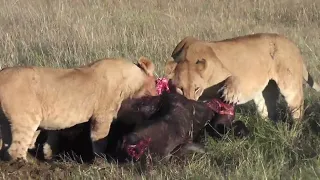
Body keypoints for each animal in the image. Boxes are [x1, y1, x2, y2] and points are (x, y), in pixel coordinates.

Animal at [0, 56, 158, 162]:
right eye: (156, 83)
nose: (158, 94)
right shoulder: (102, 115)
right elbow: (99, 139)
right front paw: (101, 160)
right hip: (26, 119)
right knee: (15, 150)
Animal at [165, 33, 320, 121]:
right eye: (180, 89)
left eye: (197, 88)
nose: (190, 105)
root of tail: (293, 45)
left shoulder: (225, 71)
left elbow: (234, 77)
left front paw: (229, 94)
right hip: (264, 91)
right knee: (268, 111)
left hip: (290, 87)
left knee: (297, 110)